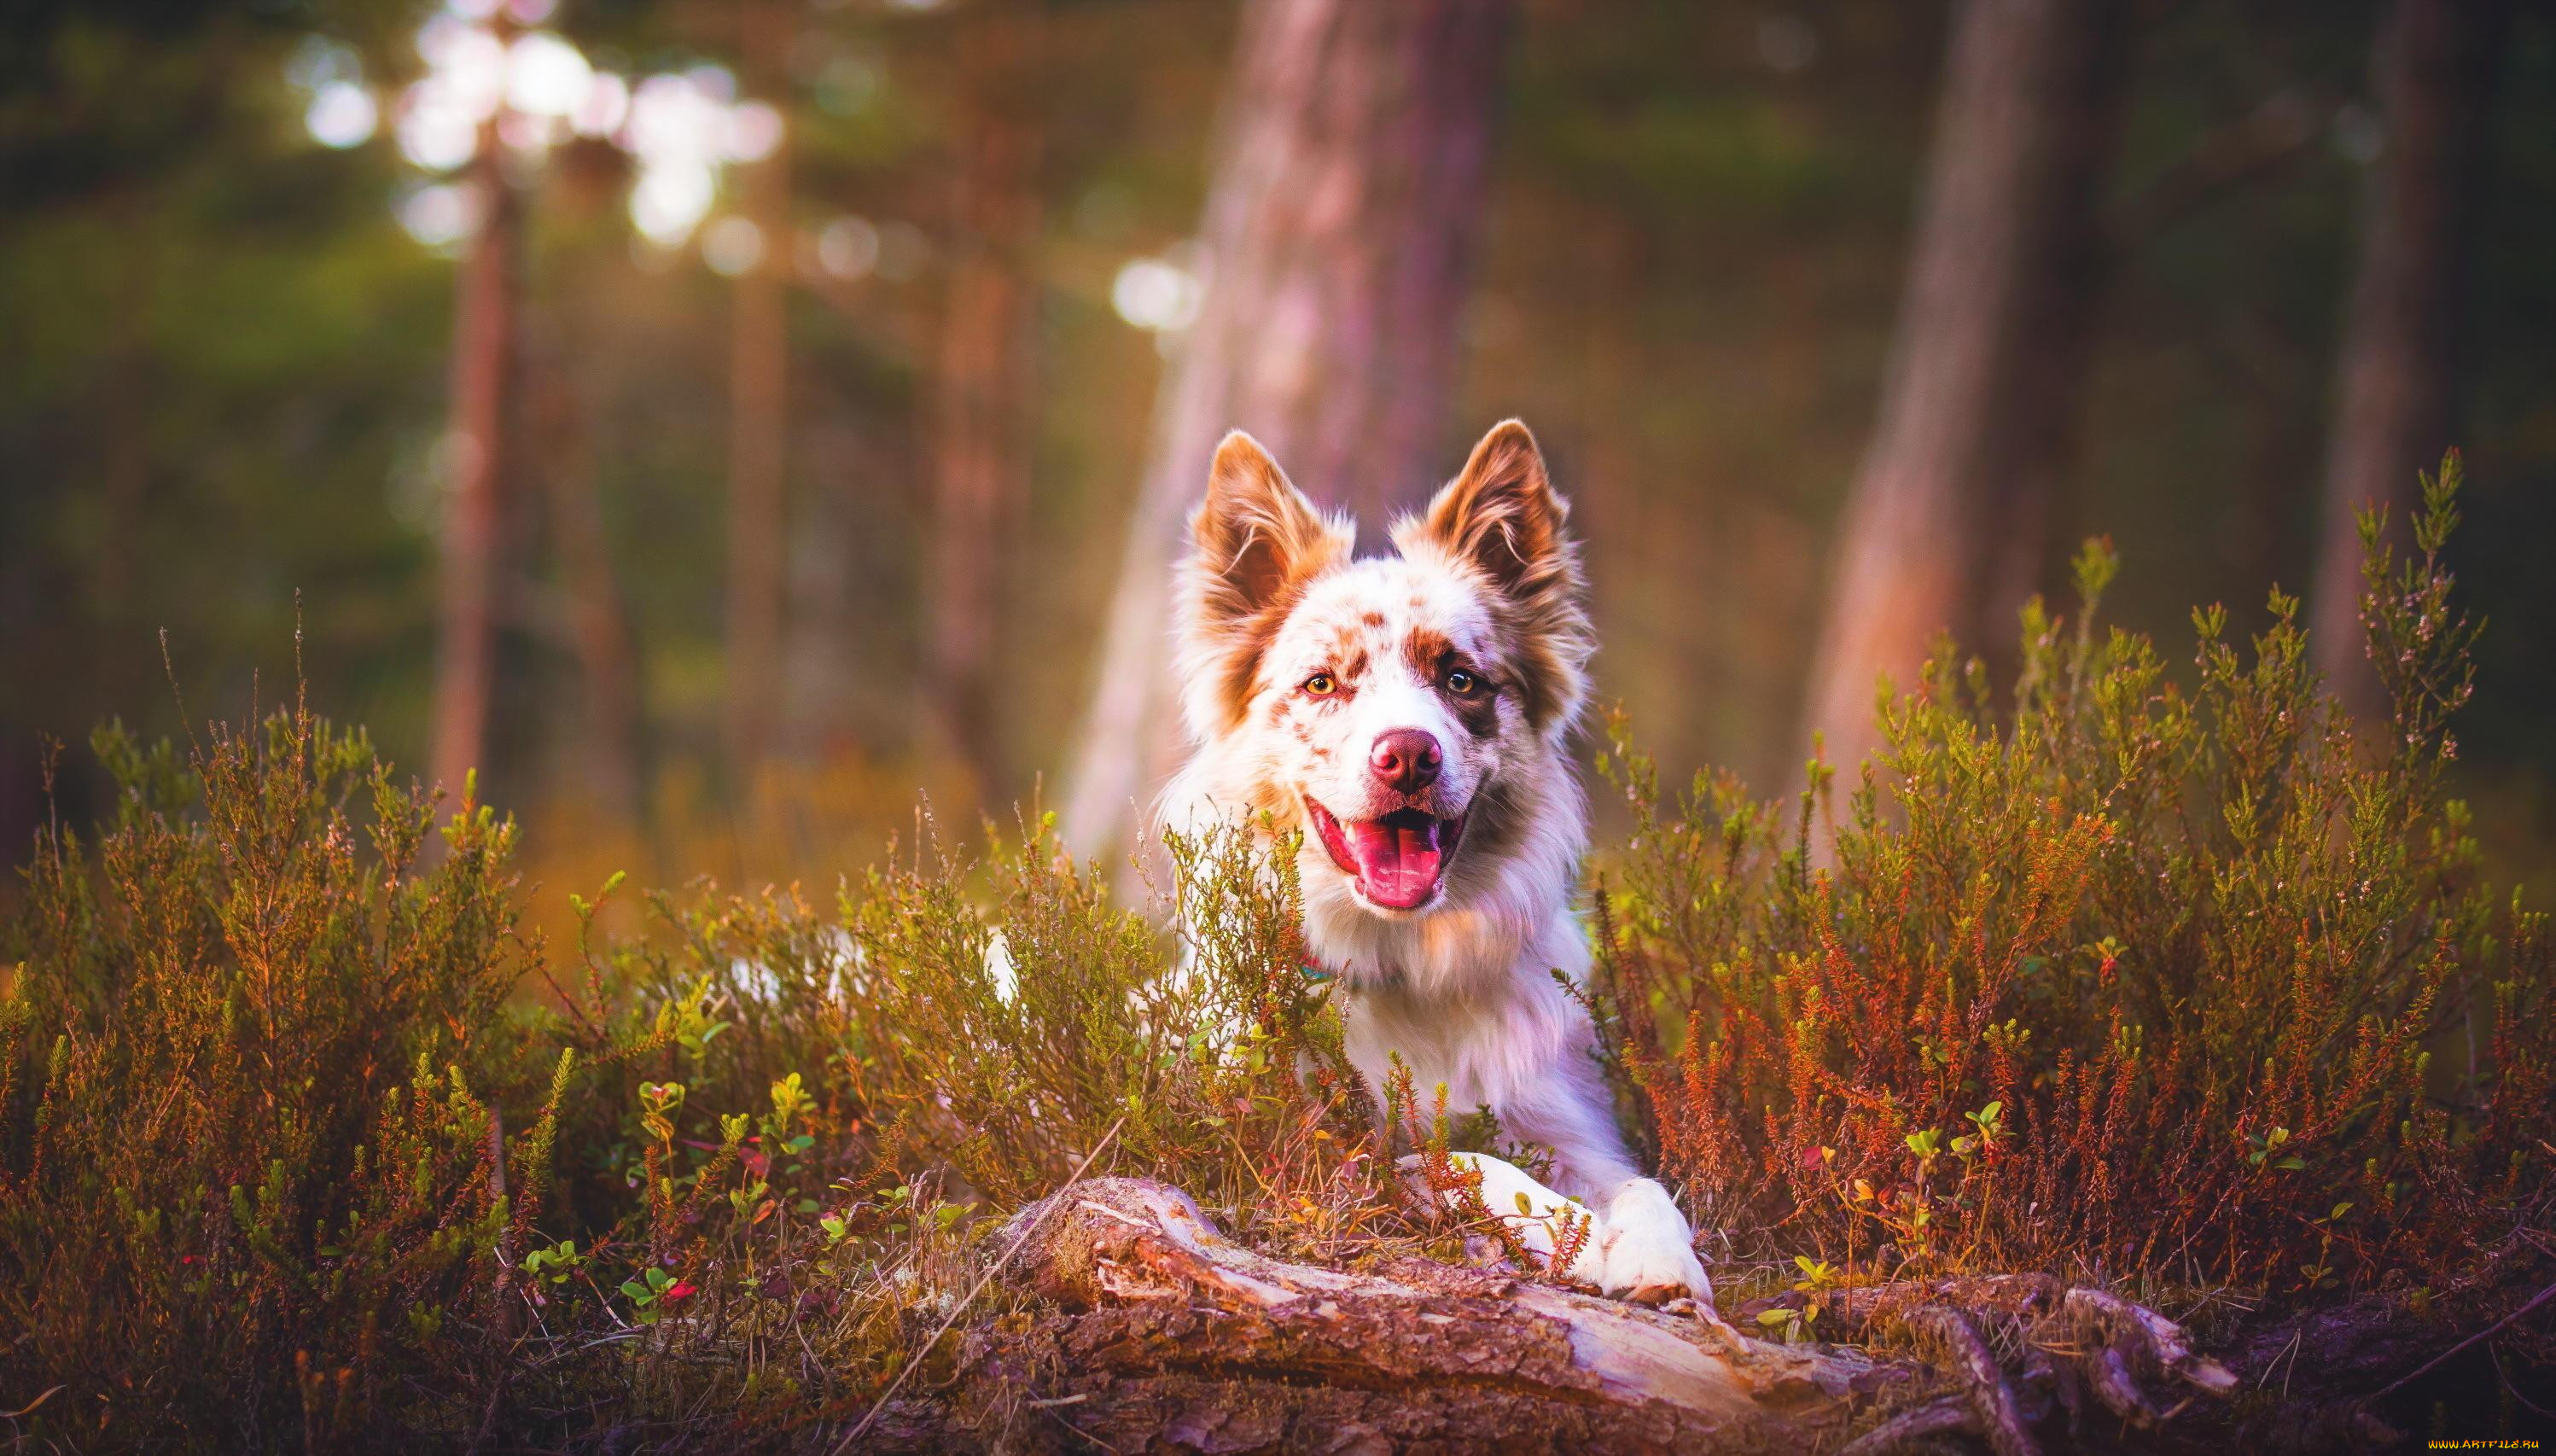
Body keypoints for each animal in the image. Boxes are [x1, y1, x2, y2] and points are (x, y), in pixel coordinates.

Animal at [1170, 413, 1707, 1297]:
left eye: (1460, 680)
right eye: (1321, 684)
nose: (1408, 757)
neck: (1404, 967)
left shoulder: (1562, 1119)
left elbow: (1643, 1184)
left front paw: (1659, 1254)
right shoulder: (1311, 1154)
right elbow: (1465, 1158)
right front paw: (1583, 1239)